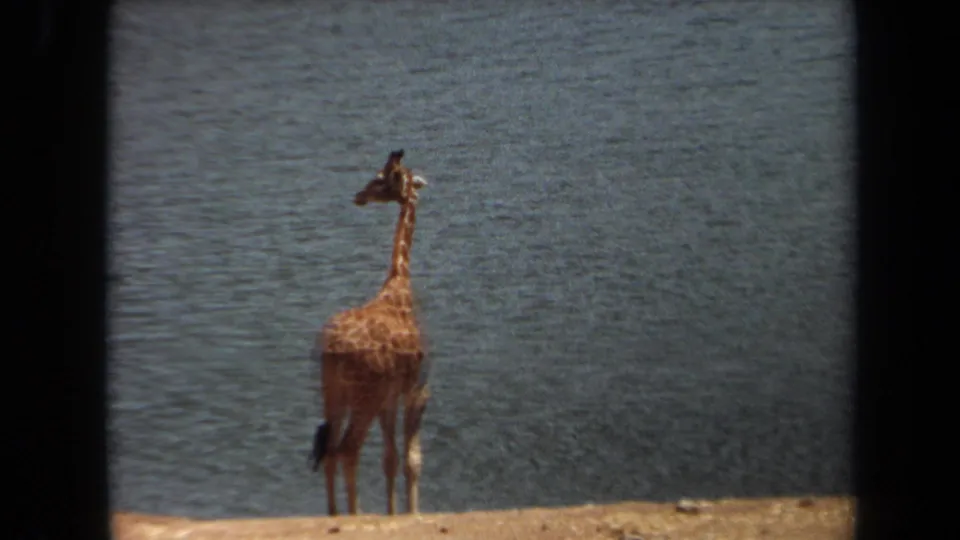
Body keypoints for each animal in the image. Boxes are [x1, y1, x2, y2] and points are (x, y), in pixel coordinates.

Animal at [309, 149, 431, 516]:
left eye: (380, 179)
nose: (359, 195)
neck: (400, 286)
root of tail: (332, 351)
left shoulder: (389, 396)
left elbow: (390, 458)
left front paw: (393, 512)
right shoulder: (413, 387)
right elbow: (411, 459)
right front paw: (411, 513)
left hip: (333, 392)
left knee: (331, 449)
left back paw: (336, 513)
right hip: (364, 396)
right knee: (347, 449)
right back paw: (355, 514)